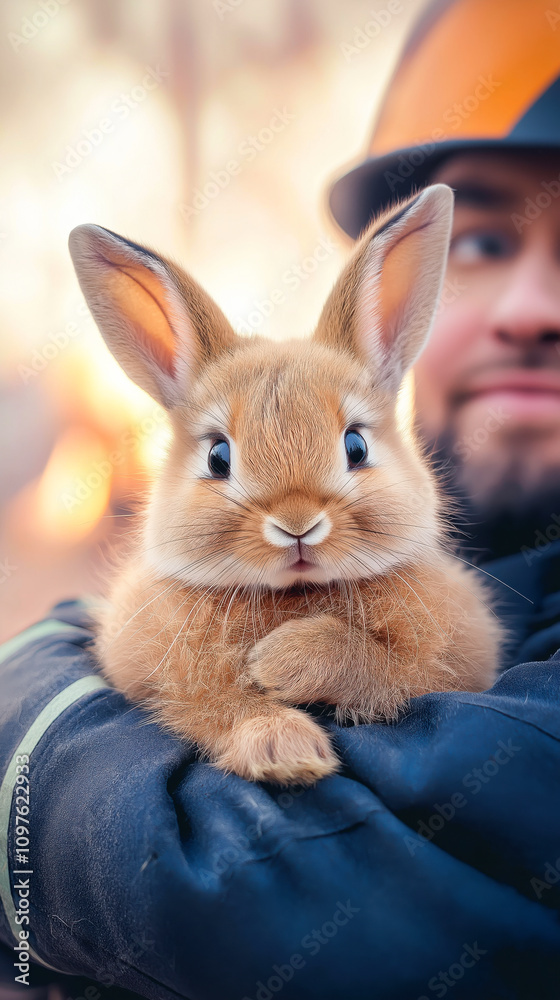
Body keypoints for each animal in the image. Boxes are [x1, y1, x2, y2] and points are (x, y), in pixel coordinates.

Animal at [68, 183, 503, 787]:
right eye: (218, 456)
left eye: (356, 446)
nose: (297, 525)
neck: (294, 593)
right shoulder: (179, 679)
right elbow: (222, 705)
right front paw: (286, 751)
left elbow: (372, 664)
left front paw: (280, 663)